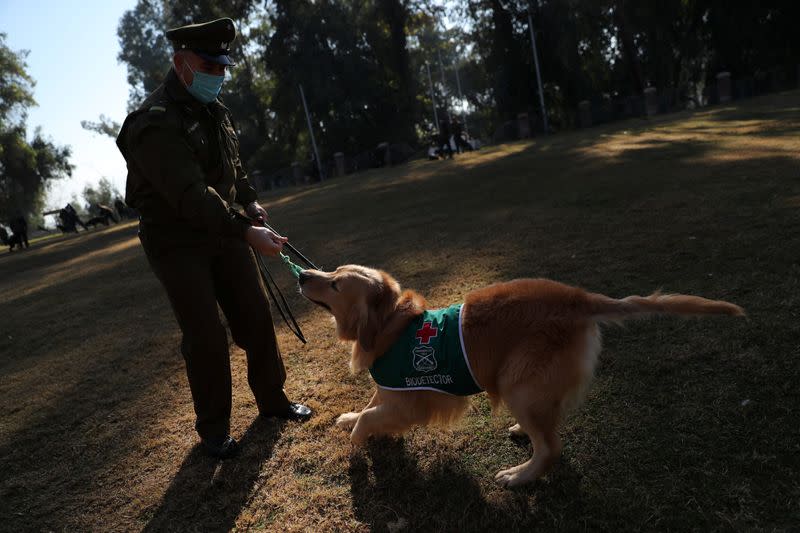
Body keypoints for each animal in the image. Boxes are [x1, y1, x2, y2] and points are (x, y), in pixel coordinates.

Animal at [298, 266, 744, 486]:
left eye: (335, 283)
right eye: (330, 271)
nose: (302, 275)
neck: (390, 322)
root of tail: (579, 299)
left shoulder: (413, 398)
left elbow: (372, 418)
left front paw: (355, 448)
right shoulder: (390, 387)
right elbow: (370, 405)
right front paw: (350, 419)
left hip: (518, 382)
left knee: (551, 448)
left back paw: (520, 475)